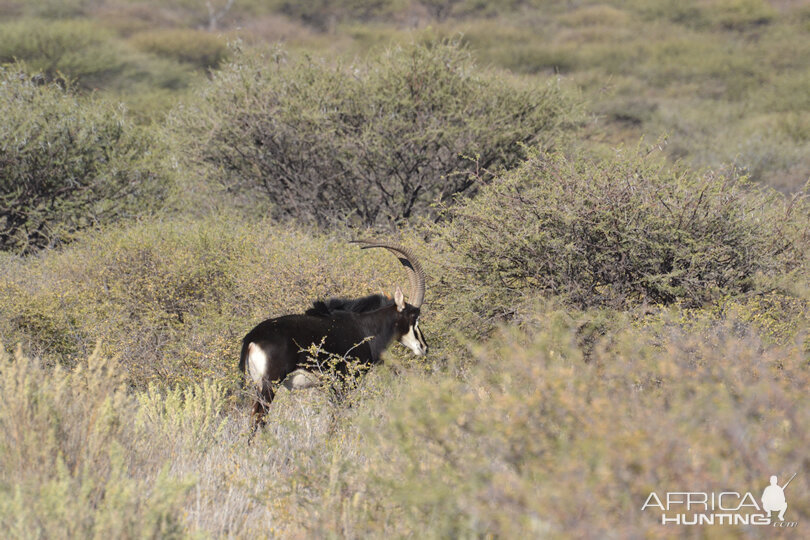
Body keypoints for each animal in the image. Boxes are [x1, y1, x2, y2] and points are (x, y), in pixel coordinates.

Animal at [238, 240, 426, 430]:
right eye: (414, 316)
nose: (423, 347)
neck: (366, 327)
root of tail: (252, 337)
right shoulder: (347, 380)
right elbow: (339, 416)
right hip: (270, 384)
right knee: (259, 417)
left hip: (257, 386)